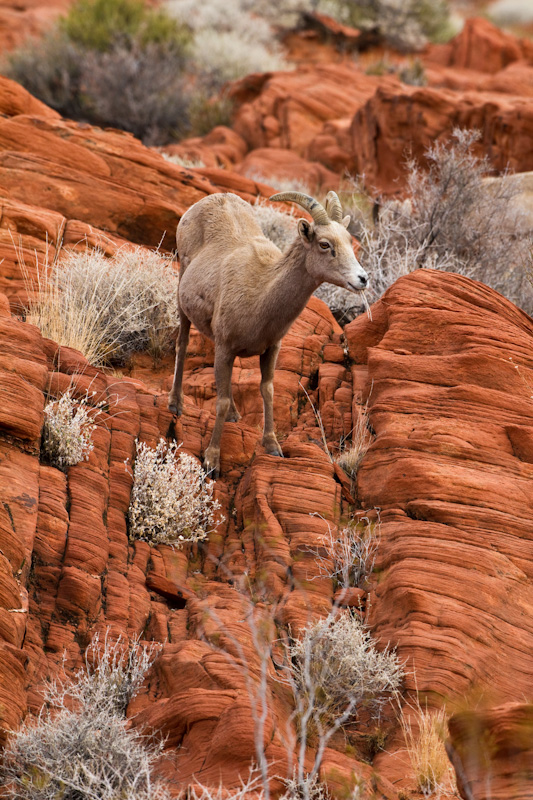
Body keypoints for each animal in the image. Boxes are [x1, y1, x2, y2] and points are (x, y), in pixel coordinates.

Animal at [168, 191, 368, 478]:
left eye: (350, 242)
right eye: (325, 244)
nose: (362, 279)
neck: (261, 292)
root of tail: (216, 197)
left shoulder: (271, 349)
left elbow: (267, 390)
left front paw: (273, 447)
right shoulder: (225, 348)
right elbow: (221, 402)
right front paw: (212, 462)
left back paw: (235, 416)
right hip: (181, 291)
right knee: (182, 345)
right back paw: (176, 404)